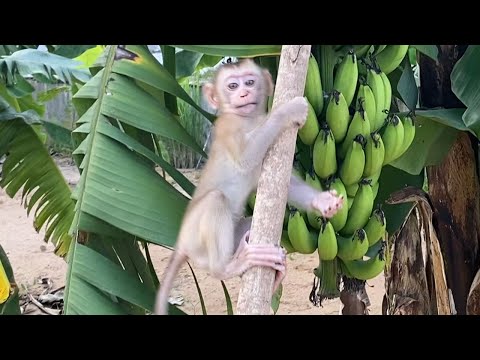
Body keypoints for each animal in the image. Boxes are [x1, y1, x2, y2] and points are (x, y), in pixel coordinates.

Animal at [155, 57, 344, 314]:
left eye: (250, 82)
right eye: (232, 86)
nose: (244, 93)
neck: (250, 119)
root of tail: (181, 244)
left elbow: (286, 184)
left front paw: (323, 201)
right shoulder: (227, 125)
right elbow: (245, 157)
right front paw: (287, 111)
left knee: (248, 224)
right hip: (196, 240)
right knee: (216, 201)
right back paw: (225, 268)